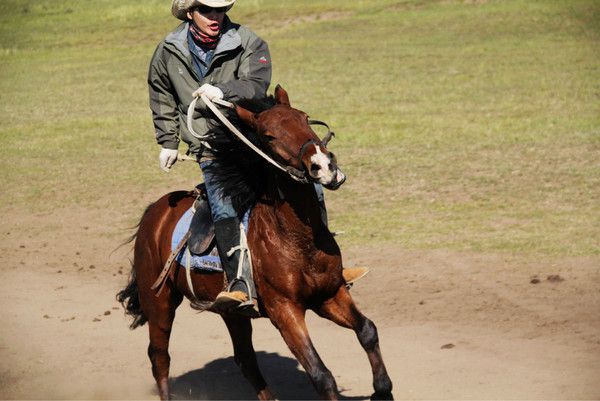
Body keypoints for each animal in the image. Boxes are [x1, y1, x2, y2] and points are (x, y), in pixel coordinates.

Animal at [118, 86, 394, 398]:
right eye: (269, 136)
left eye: (304, 117)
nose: (323, 165)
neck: (297, 240)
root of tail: (155, 211)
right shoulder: (284, 310)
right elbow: (321, 374)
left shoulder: (330, 294)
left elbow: (367, 331)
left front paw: (382, 389)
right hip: (159, 301)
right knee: (159, 357)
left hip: (231, 312)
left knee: (246, 360)